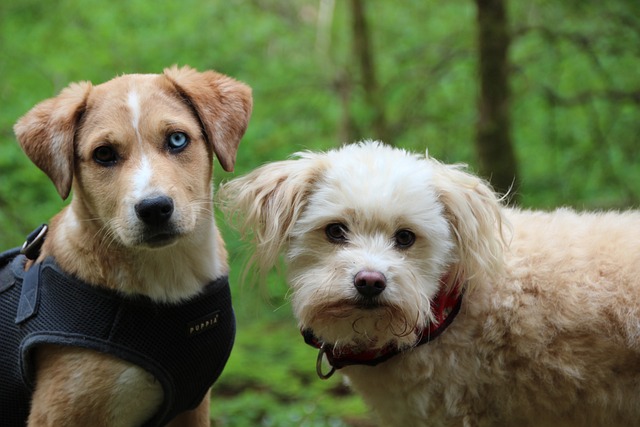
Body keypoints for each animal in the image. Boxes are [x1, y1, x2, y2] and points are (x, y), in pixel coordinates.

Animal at [6, 67, 252, 427]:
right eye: (104, 154)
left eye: (177, 140)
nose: (154, 208)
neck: (168, 275)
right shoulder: (57, 415)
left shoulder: (192, 408)